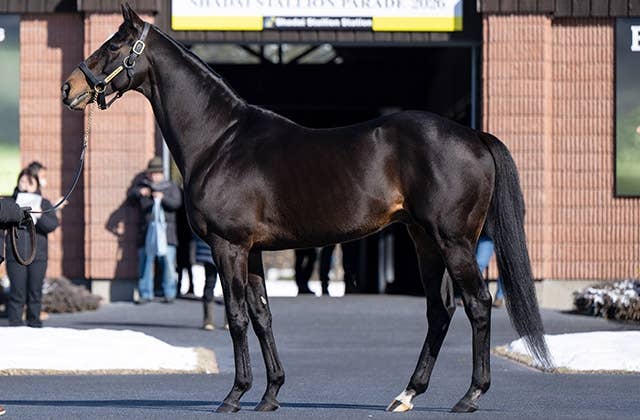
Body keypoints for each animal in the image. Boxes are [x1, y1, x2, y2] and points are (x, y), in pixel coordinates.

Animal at [62, 3, 552, 414]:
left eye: (113, 46)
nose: (69, 87)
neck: (220, 140)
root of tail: (474, 136)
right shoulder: (253, 251)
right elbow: (262, 316)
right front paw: (270, 394)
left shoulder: (228, 247)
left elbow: (236, 317)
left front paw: (234, 396)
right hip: (425, 240)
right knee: (440, 310)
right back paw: (407, 394)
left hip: (455, 241)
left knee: (478, 304)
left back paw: (469, 396)